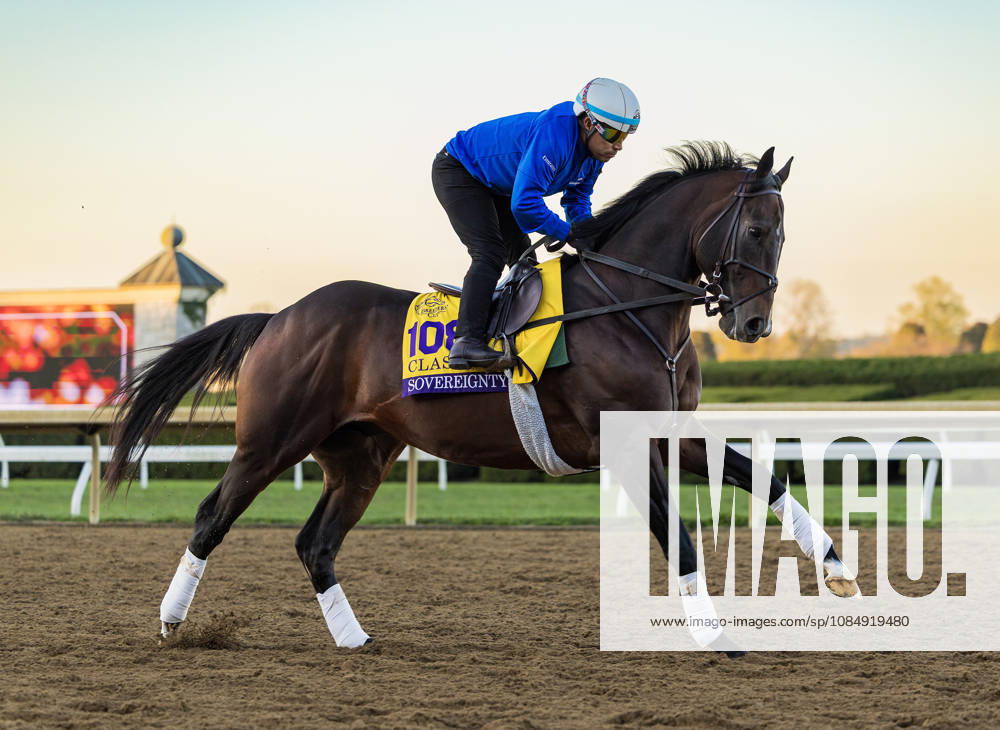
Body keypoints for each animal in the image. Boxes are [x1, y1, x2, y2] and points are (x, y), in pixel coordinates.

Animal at [105, 141, 859, 655]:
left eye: (782, 234)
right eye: (756, 230)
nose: (752, 325)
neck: (628, 307)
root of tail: (278, 317)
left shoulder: (671, 429)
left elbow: (767, 477)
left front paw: (837, 567)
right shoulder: (623, 443)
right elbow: (679, 539)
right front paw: (713, 635)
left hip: (360, 457)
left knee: (315, 543)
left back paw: (353, 638)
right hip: (270, 441)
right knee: (212, 517)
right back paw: (172, 622)